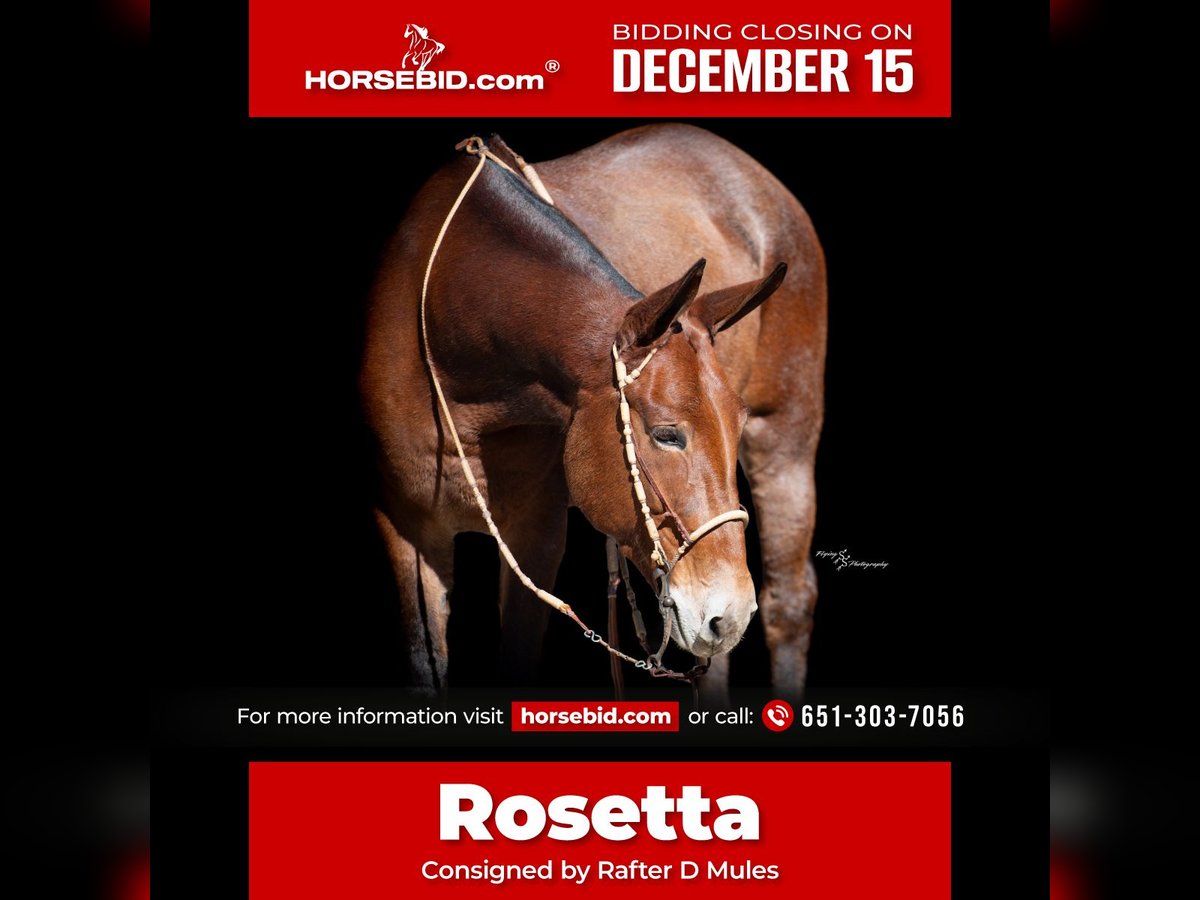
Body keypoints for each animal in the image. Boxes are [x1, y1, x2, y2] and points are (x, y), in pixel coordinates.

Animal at [361, 125, 826, 700]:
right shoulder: (406, 529)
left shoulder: (536, 531)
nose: (730, 613)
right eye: (667, 434)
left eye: (734, 429)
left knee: (790, 604)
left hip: (787, 443)